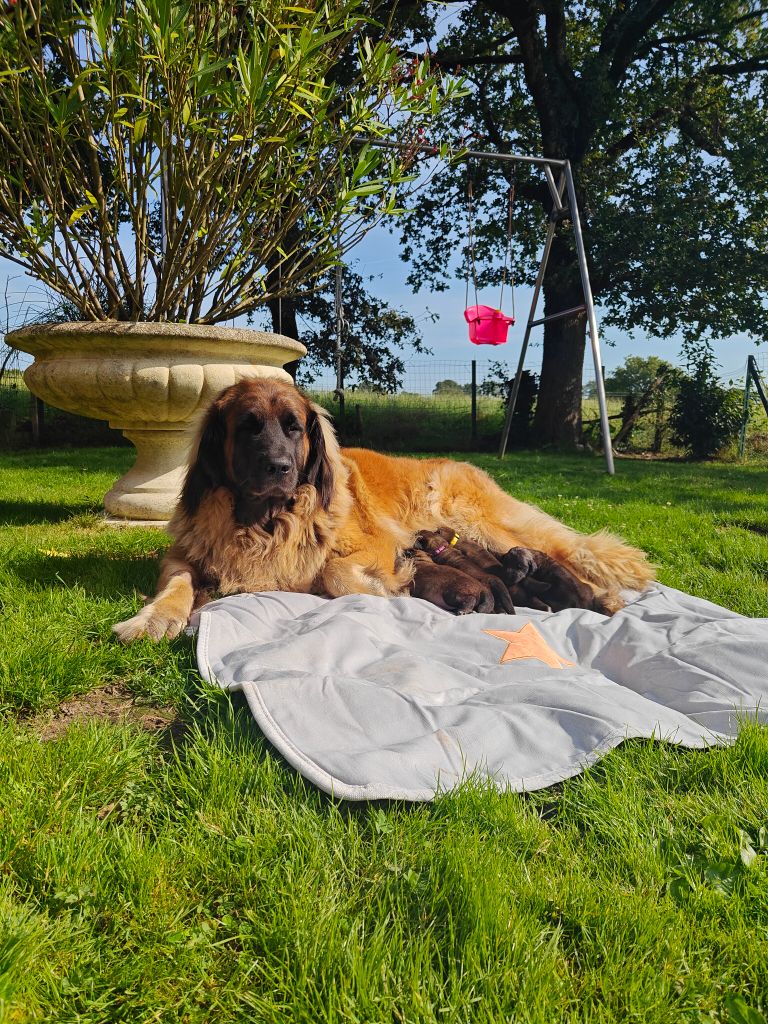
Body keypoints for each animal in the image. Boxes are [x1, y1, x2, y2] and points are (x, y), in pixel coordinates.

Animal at [114, 380, 655, 643]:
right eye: (248, 427)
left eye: (293, 427)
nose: (279, 467)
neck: (266, 520)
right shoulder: (185, 553)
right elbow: (177, 582)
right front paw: (152, 619)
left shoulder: (372, 545)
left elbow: (336, 574)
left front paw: (391, 586)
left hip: (483, 525)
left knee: (565, 552)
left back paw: (604, 597)